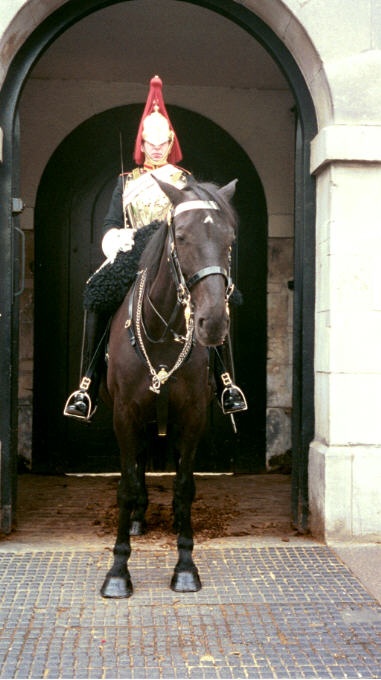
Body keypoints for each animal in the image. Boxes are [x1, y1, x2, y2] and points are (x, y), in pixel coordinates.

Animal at [101, 177, 238, 600]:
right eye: (182, 235)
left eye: (229, 238)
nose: (213, 322)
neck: (162, 331)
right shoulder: (124, 414)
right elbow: (126, 486)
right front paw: (118, 571)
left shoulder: (192, 415)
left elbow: (184, 486)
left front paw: (185, 566)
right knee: (138, 465)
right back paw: (136, 520)